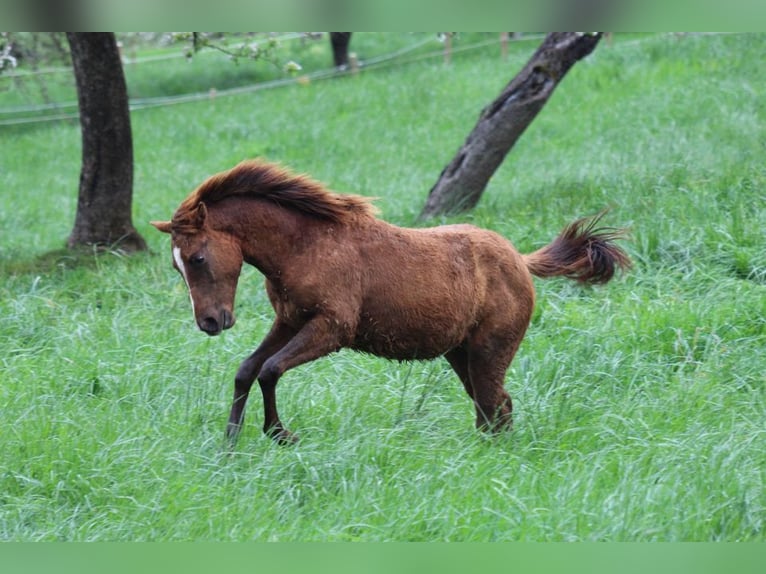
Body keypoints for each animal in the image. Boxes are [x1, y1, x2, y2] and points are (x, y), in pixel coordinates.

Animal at [150, 160, 632, 448]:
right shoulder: (288, 321)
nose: (210, 322)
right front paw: (230, 444)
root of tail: (519, 259)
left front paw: (280, 434)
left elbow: (269, 370)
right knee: (493, 409)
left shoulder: (332, 328)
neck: (307, 246)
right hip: (461, 354)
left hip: (489, 351)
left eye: (196, 258)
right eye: (175, 266)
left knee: (496, 406)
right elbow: (247, 370)